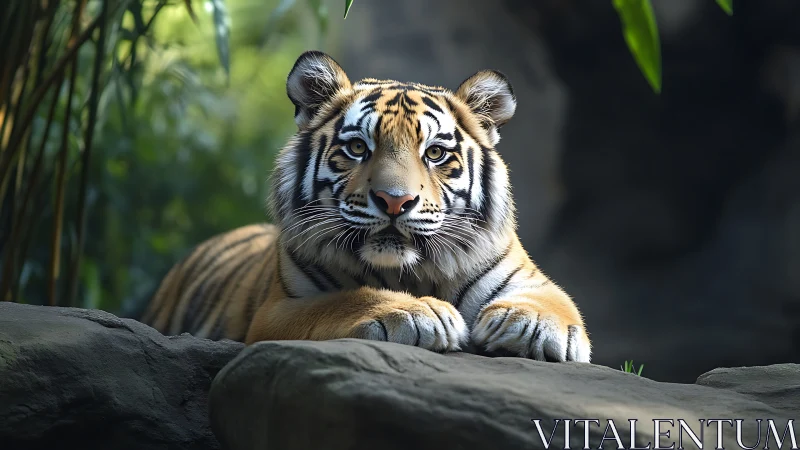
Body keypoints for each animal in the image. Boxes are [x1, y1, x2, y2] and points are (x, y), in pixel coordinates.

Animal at [140, 50, 592, 363]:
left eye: (435, 153)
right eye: (358, 148)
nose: (396, 201)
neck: (409, 271)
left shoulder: (530, 279)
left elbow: (558, 303)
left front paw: (532, 325)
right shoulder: (276, 311)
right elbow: (345, 299)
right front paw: (419, 313)